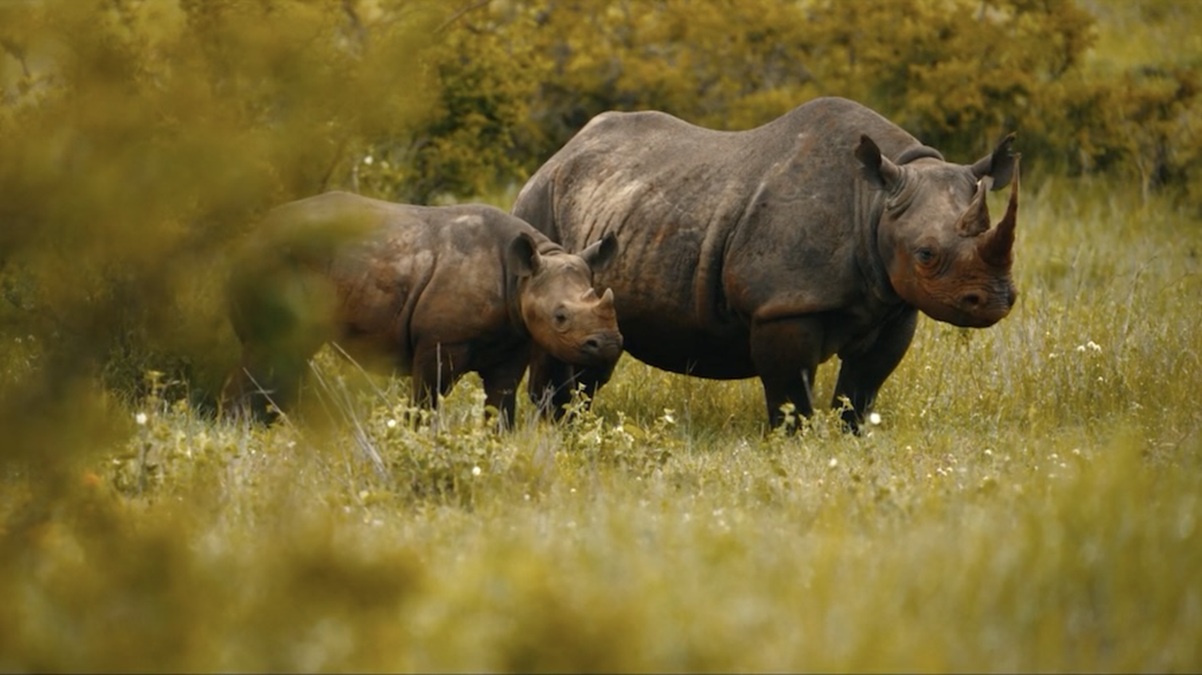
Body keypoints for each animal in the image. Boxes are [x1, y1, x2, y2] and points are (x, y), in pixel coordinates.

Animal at [225, 191, 622, 427]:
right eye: (560, 317)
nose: (609, 345)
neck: (520, 280)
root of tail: (251, 234)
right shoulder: (439, 343)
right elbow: (425, 402)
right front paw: (417, 440)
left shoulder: (514, 342)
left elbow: (500, 406)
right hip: (274, 260)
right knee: (268, 351)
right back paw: (245, 430)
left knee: (288, 355)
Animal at [512, 96, 1019, 431]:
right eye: (926, 254)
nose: (994, 300)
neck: (875, 203)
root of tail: (557, 155)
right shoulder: (783, 304)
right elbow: (790, 390)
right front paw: (794, 443)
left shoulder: (895, 304)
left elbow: (863, 385)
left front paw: (851, 437)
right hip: (539, 206)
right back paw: (550, 427)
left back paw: (572, 426)